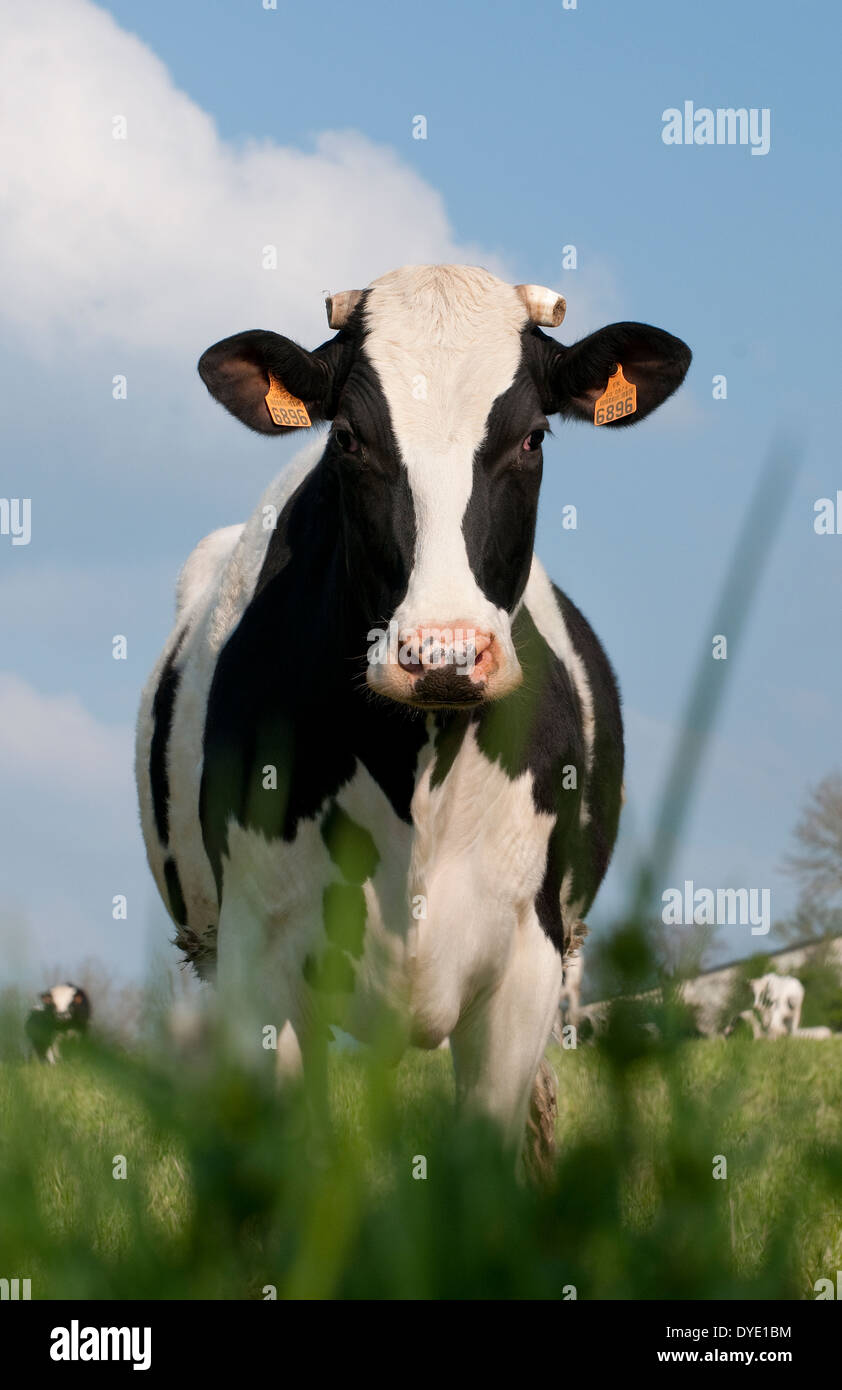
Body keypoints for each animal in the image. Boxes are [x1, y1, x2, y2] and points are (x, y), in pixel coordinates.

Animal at [136, 264, 690, 1171]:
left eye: (534, 437)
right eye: (349, 439)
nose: (442, 654)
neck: (417, 771)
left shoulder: (529, 960)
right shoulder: (255, 960)